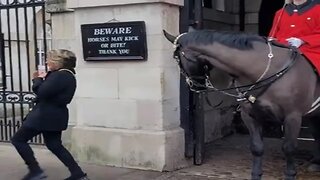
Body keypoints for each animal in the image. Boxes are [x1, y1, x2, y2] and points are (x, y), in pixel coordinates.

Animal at [164, 29, 320, 180]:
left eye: (177, 59)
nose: (194, 86)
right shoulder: (250, 116)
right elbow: (257, 147)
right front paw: (256, 175)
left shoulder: (293, 117)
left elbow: (289, 148)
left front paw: (290, 174)